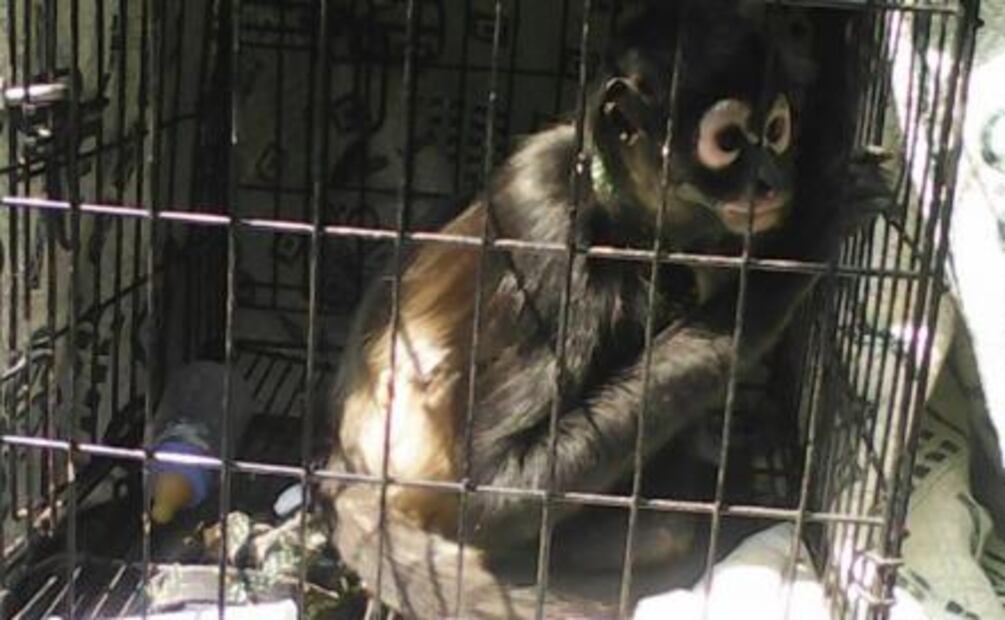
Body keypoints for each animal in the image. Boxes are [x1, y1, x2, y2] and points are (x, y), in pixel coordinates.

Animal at [318, 1, 890, 618]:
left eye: (778, 132)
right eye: (729, 141)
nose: (773, 181)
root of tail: (355, 460)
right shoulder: (547, 215)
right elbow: (490, 488)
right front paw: (804, 240)